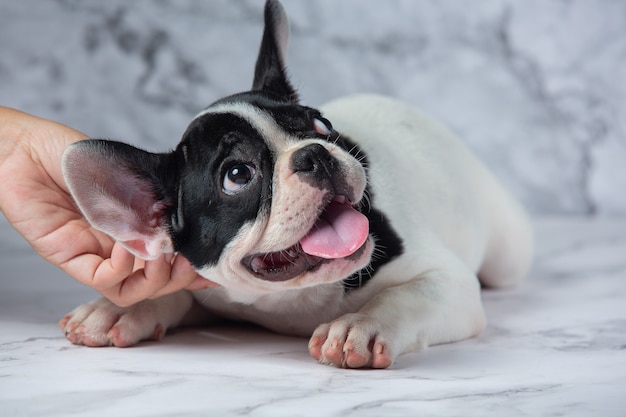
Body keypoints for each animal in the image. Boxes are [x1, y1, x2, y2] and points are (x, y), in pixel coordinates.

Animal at [58, 0, 528, 368]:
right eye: (237, 176)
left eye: (321, 125)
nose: (314, 154)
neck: (291, 300)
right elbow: (173, 293)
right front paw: (120, 309)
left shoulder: (447, 281)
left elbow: (405, 296)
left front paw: (360, 325)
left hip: (506, 254)